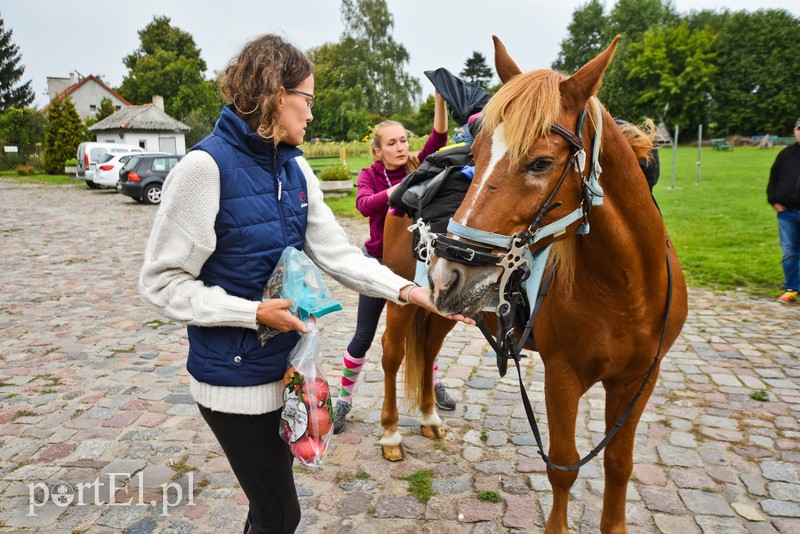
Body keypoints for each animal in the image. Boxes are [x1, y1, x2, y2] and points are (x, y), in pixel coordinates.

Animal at [424, 37, 688, 534]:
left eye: (541, 162)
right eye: (476, 156)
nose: (447, 275)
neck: (626, 291)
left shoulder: (638, 381)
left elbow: (619, 464)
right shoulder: (562, 376)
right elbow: (563, 465)